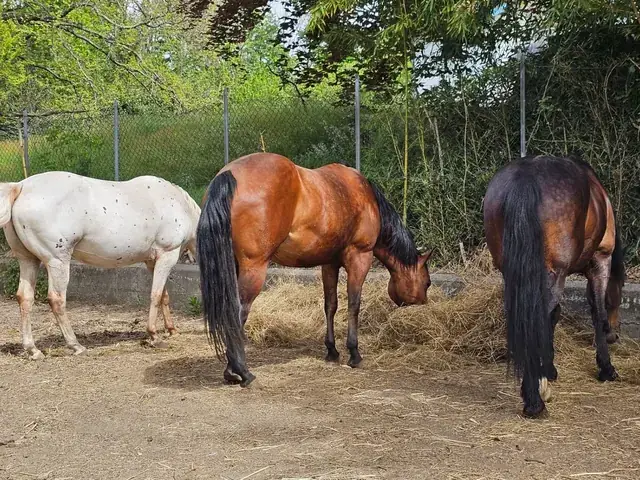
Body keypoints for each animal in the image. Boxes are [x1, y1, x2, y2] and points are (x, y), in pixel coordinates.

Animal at [0, 171, 201, 359]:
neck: (181, 205)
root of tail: (21, 186)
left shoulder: (153, 261)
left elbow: (163, 296)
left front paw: (171, 329)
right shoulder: (167, 255)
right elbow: (156, 295)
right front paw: (154, 336)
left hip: (28, 260)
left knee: (25, 298)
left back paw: (32, 350)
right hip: (57, 261)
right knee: (56, 299)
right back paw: (76, 345)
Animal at [197, 153, 432, 387]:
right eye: (427, 283)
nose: (424, 303)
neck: (365, 196)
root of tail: (229, 174)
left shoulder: (329, 264)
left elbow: (330, 305)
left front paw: (332, 351)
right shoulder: (360, 257)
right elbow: (354, 305)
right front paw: (354, 353)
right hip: (253, 268)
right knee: (238, 312)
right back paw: (241, 371)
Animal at [483, 154, 625, 418]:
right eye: (618, 295)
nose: (615, 335)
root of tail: (526, 177)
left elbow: (554, 317)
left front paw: (548, 369)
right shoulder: (600, 260)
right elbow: (597, 313)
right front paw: (606, 368)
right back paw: (534, 400)